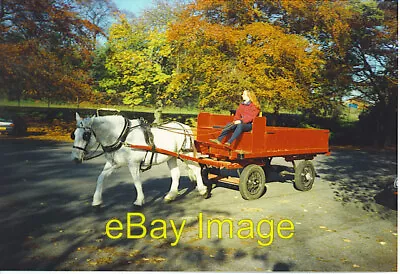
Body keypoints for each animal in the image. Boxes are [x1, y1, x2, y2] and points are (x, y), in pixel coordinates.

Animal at [70, 113, 208, 206]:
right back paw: (171, 195)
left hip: (186, 154)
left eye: (85, 135)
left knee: (197, 169)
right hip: (171, 156)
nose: (75, 159)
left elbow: (136, 182)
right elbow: (100, 178)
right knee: (176, 174)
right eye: (74, 135)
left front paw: (139, 201)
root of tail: (184, 126)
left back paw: (203, 190)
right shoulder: (114, 163)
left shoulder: (133, 164)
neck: (122, 137)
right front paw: (96, 200)